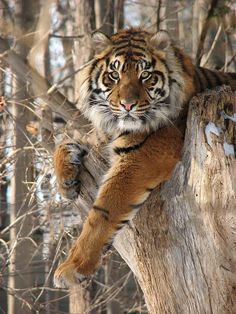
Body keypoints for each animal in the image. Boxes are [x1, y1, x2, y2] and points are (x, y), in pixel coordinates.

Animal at [53, 28, 236, 288]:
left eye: (145, 75)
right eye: (114, 75)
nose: (127, 105)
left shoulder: (144, 155)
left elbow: (103, 211)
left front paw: (72, 267)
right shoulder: (103, 137)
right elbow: (67, 142)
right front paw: (67, 181)